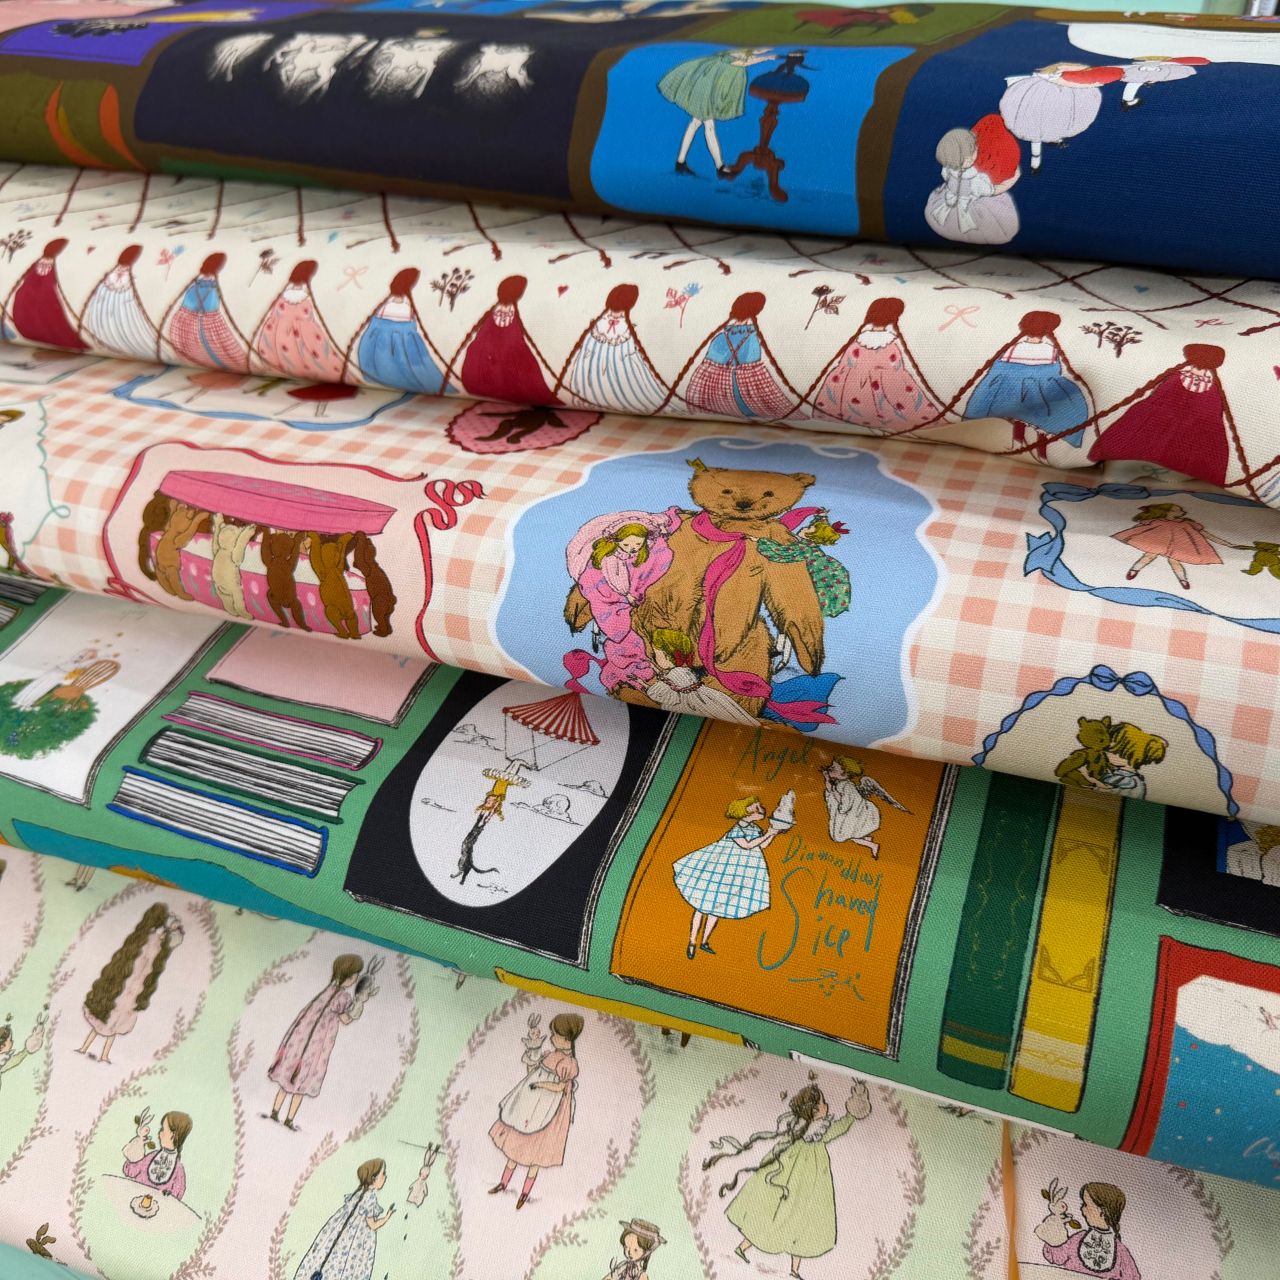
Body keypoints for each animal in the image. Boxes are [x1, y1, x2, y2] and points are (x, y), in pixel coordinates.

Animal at [564, 459, 827, 716]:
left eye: (769, 492)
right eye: (725, 490)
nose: (744, 504)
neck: (732, 528)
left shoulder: (779, 546)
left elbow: (793, 594)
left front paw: (799, 650)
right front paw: (583, 612)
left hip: (748, 645)